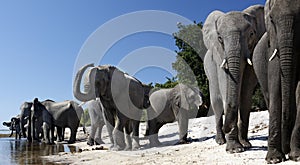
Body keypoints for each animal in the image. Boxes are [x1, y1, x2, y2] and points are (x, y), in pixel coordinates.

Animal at [203, 4, 266, 153]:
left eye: (251, 34)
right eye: (220, 38)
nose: (228, 128)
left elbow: (246, 93)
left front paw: (246, 145)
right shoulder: (220, 55)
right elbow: (226, 86)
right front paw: (235, 149)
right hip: (208, 66)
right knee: (216, 102)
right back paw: (220, 141)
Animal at [253, 0, 300, 162]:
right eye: (272, 20)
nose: (286, 150)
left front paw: (296, 156)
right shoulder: (272, 49)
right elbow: (275, 90)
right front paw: (274, 159)